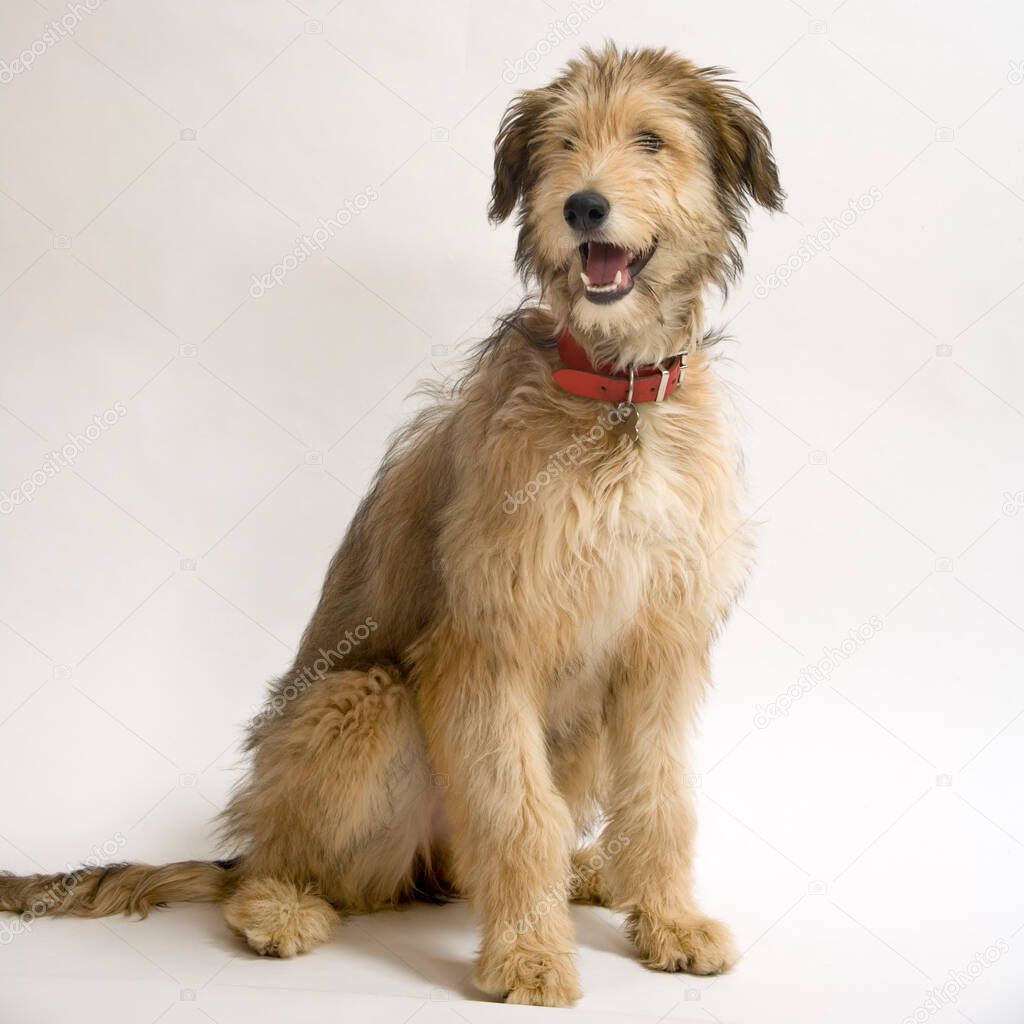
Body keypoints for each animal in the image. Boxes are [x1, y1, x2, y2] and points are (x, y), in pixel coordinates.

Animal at [2, 41, 782, 1007]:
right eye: (563, 146)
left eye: (651, 140)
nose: (583, 205)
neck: (616, 401)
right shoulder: (486, 642)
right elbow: (517, 812)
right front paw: (529, 957)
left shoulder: (658, 647)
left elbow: (663, 799)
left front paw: (668, 920)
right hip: (364, 701)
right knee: (300, 863)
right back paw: (280, 907)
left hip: (576, 730)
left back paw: (589, 873)